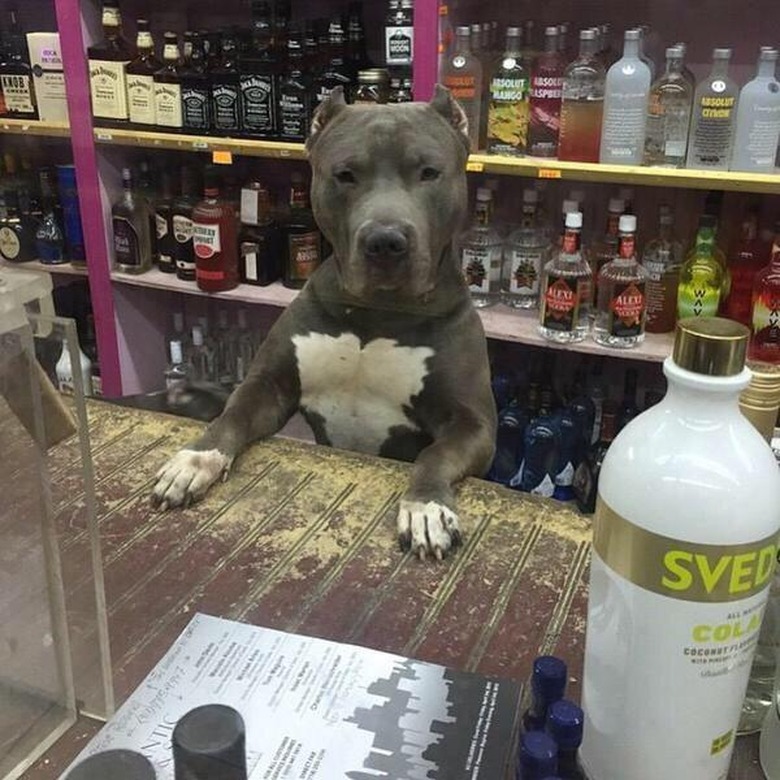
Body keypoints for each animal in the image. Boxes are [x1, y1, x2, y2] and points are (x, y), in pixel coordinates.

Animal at [149, 85, 496, 560]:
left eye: (429, 172)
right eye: (345, 175)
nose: (385, 241)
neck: (375, 314)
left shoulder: (474, 424)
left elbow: (436, 455)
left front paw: (425, 508)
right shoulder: (269, 386)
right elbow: (232, 414)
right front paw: (196, 459)